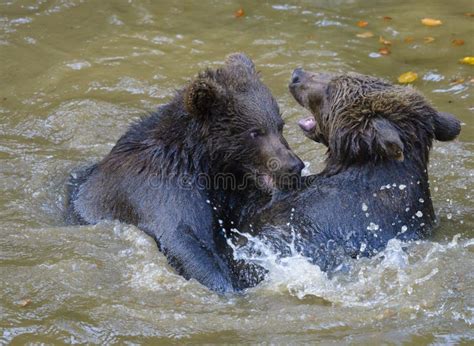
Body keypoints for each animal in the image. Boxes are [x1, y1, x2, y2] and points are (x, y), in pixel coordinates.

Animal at [65, 53, 304, 292]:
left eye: (279, 125)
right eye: (255, 132)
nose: (293, 165)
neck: (203, 162)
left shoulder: (227, 194)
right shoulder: (162, 191)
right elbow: (182, 238)